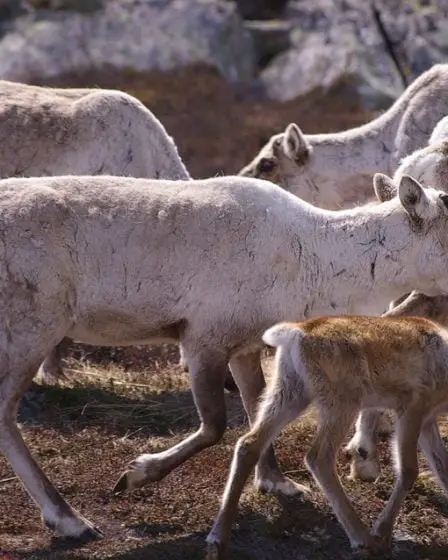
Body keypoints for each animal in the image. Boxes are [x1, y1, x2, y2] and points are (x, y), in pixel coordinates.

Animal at [207, 318, 448, 556]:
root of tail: (296, 333)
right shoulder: (411, 406)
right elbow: (409, 470)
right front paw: (382, 531)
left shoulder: (427, 419)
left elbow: (442, 468)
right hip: (342, 401)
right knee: (318, 457)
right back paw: (362, 538)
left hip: (290, 390)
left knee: (249, 443)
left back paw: (217, 537)